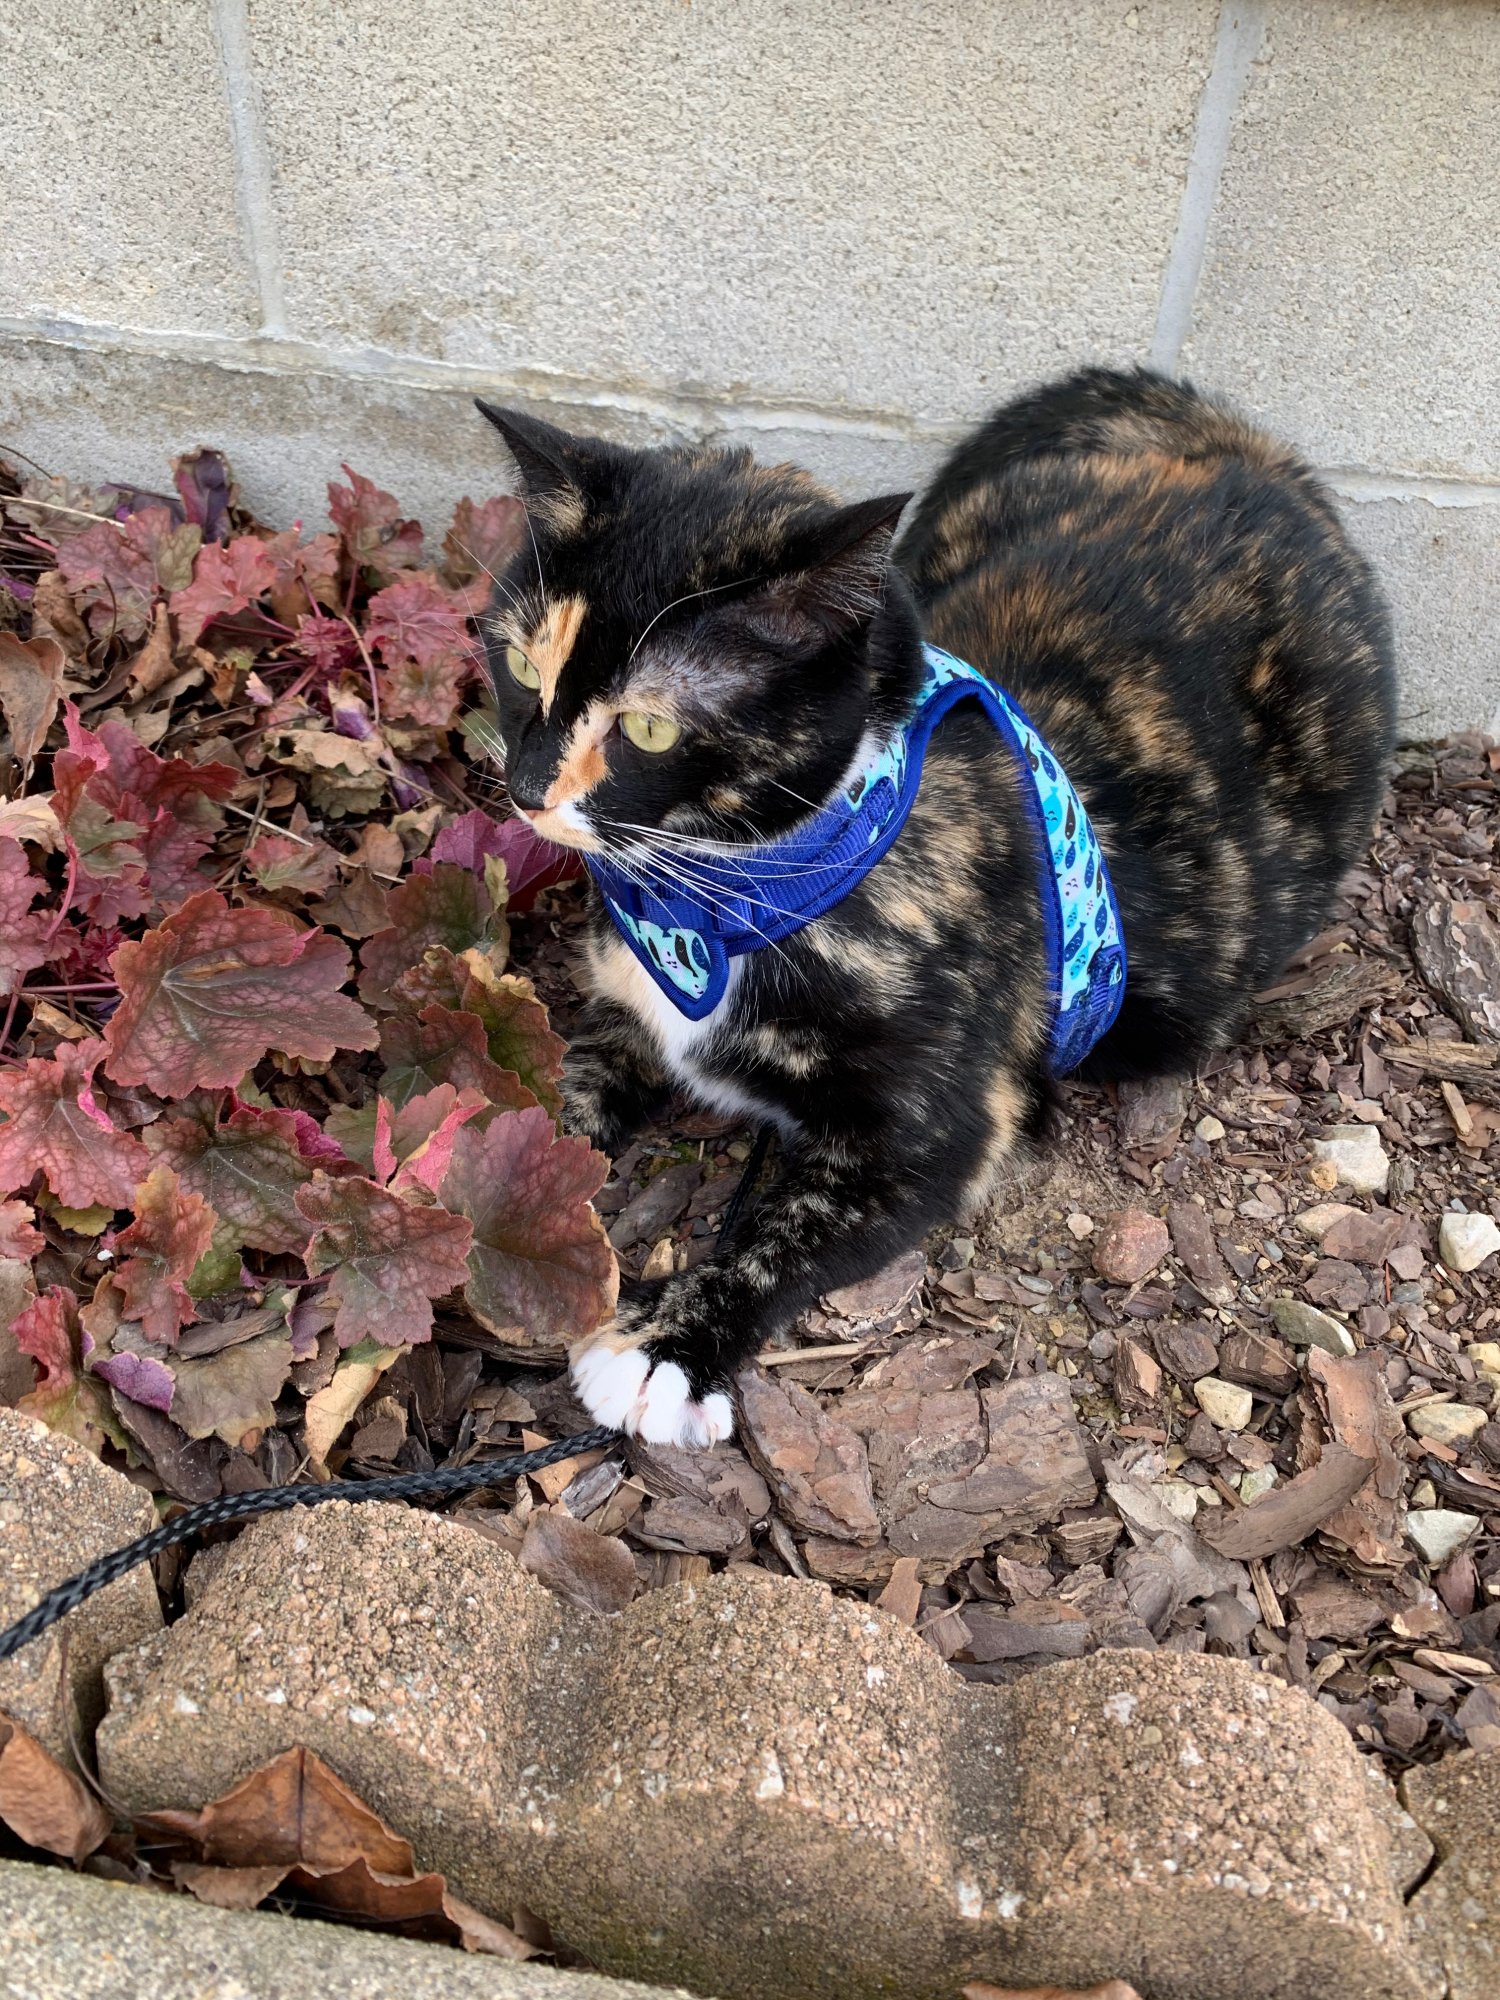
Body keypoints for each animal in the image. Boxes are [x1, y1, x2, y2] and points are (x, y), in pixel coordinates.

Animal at [478, 368, 1400, 1448]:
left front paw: (667, 1346)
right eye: (522, 666)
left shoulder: (938, 1126)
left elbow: (793, 1229)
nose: (526, 786)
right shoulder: (628, 1005)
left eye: (651, 727)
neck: (720, 896)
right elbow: (569, 1090)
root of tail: (1245, 457)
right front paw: (505, 1184)